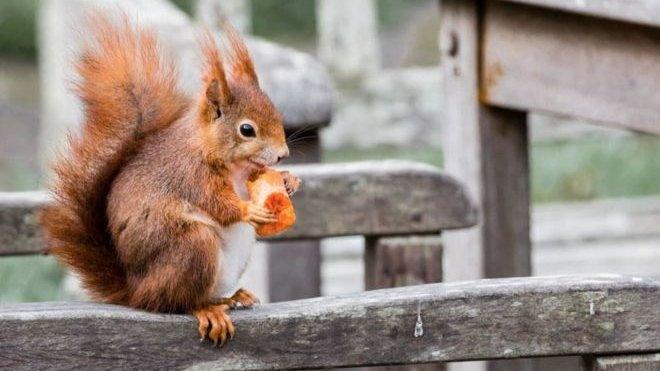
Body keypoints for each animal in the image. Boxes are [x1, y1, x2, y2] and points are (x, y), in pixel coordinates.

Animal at [40, 13, 300, 348]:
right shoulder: (192, 175)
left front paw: (289, 180)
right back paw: (207, 309)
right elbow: (218, 204)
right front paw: (248, 209)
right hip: (192, 248)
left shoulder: (247, 174)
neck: (230, 164)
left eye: (276, 113)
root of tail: (136, 291)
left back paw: (231, 297)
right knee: (173, 303)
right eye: (247, 130)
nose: (283, 154)